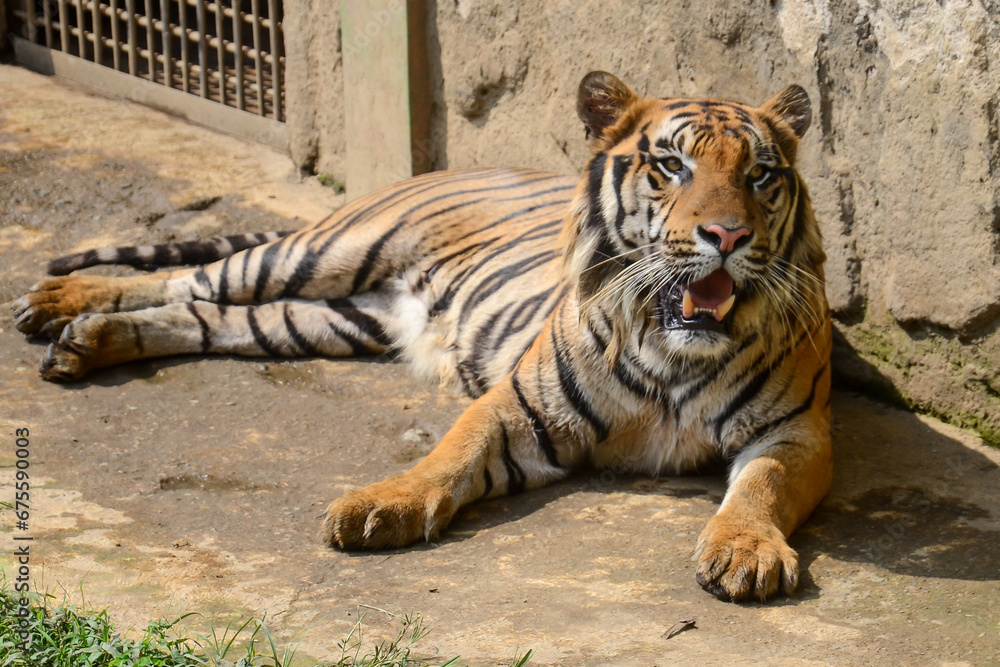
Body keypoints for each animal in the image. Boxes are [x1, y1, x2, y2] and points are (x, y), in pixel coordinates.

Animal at [10, 71, 831, 602]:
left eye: (760, 175)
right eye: (670, 165)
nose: (726, 236)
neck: (670, 344)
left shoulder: (797, 434)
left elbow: (760, 485)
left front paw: (745, 552)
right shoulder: (519, 408)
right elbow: (450, 454)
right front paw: (380, 508)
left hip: (327, 320)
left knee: (208, 317)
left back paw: (87, 342)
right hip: (318, 253)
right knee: (194, 277)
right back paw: (56, 300)